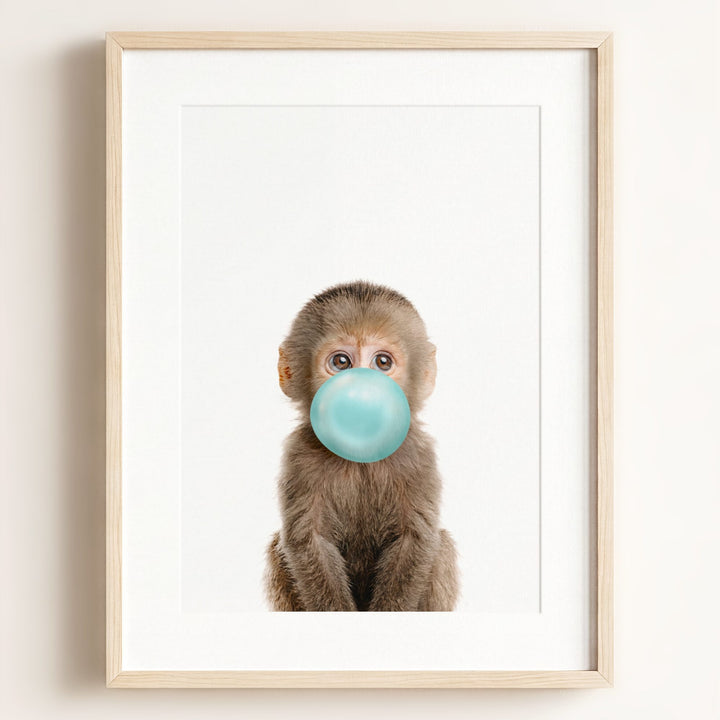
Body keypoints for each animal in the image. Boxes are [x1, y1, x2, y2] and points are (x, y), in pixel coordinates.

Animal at [265, 281, 458, 611]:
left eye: (382, 362)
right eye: (341, 362)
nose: (361, 389)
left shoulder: (418, 454)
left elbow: (415, 540)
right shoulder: (299, 455)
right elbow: (309, 541)